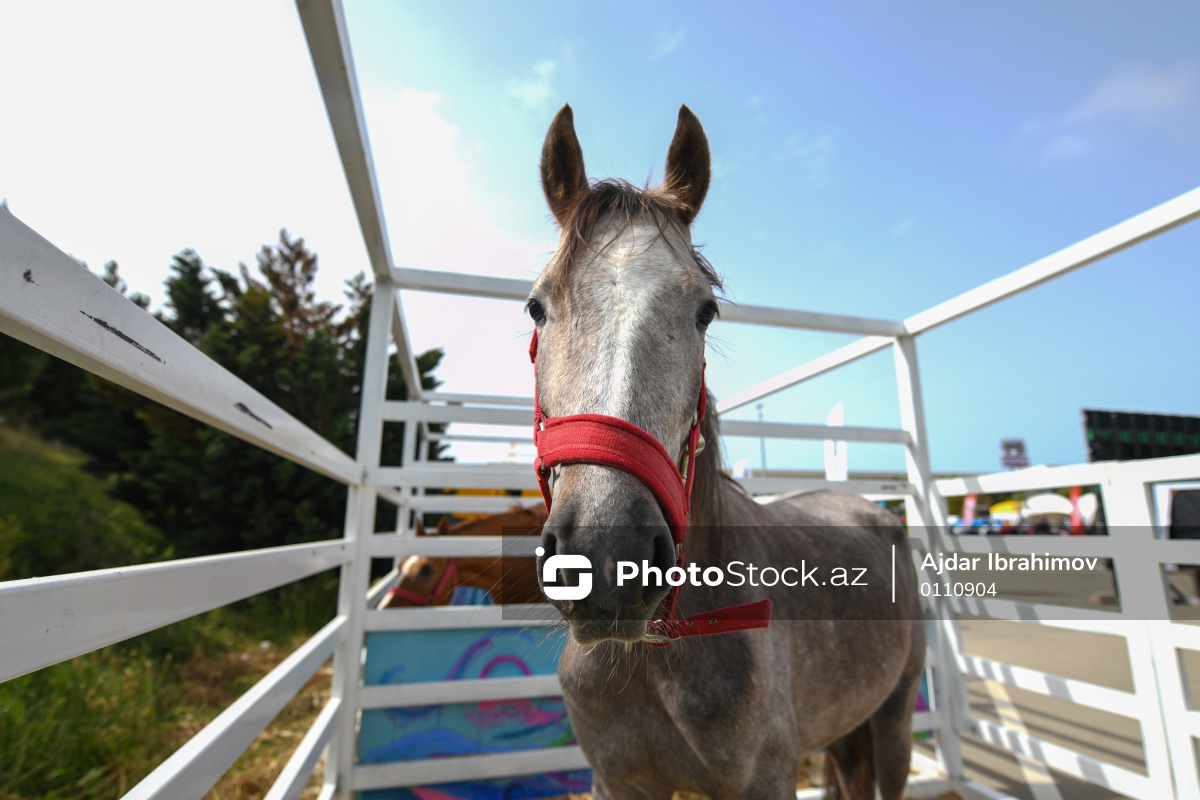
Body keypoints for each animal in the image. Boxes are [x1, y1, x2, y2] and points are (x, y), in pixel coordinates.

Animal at [527, 105, 925, 800]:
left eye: (705, 312)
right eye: (536, 307)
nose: (608, 557)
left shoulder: (765, 779)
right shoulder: (617, 783)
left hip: (894, 721)